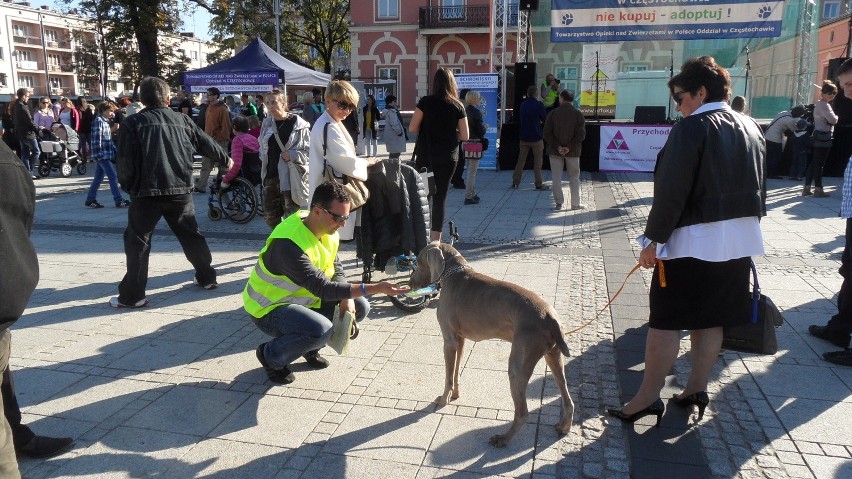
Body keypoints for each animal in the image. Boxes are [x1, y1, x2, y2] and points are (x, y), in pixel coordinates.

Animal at [406, 242, 572, 448]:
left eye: (419, 262)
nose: (409, 283)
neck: (454, 273)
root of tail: (550, 316)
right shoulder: (461, 339)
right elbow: (456, 371)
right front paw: (455, 395)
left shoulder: (449, 340)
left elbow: (448, 377)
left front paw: (443, 399)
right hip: (554, 356)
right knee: (567, 398)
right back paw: (564, 427)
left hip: (518, 366)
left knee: (522, 413)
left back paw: (503, 438)